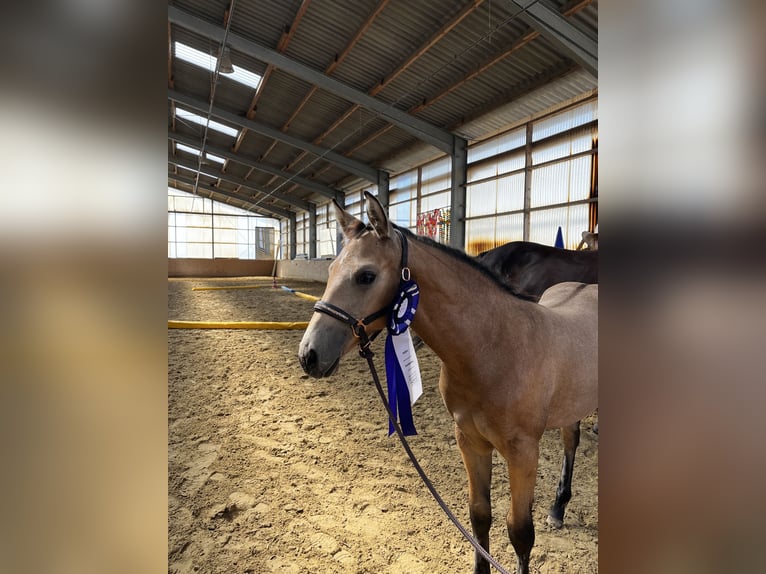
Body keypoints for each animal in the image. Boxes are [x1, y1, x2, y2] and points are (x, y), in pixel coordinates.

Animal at [298, 192, 598, 574]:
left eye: (366, 275)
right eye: (330, 270)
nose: (309, 355)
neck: (496, 346)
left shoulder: (523, 452)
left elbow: (520, 533)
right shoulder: (470, 441)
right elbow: (479, 516)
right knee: (570, 440)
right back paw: (558, 508)